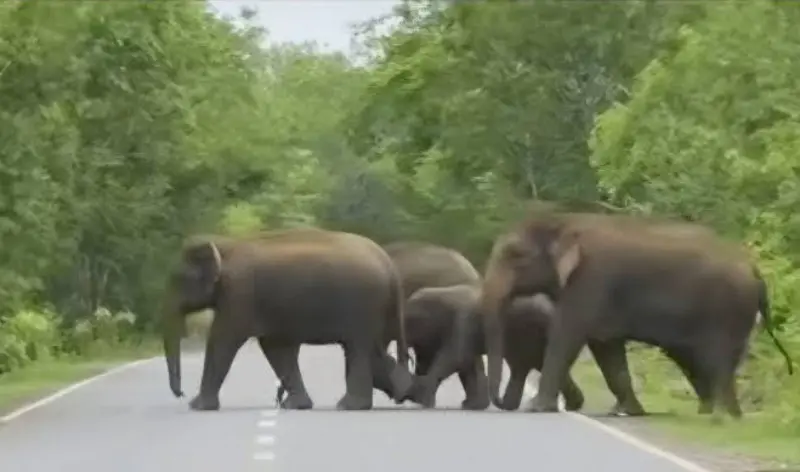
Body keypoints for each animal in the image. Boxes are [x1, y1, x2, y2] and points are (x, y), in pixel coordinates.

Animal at [162, 227, 420, 411]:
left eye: (177, 278)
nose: (181, 393)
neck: (226, 244)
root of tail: (390, 266)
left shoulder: (239, 294)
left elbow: (222, 340)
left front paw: (197, 407)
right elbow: (275, 348)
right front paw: (296, 406)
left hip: (364, 305)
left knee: (359, 349)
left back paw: (349, 406)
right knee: (372, 352)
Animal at [403, 283, 585, 412]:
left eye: (408, 323)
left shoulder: (463, 320)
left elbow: (458, 357)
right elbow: (467, 363)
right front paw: (472, 405)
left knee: (528, 365)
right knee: (539, 365)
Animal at [479, 210, 794, 418]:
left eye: (515, 255)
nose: (501, 403)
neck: (564, 220)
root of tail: (755, 271)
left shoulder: (592, 280)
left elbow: (568, 335)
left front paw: (536, 408)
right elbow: (606, 349)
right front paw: (626, 412)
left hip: (727, 311)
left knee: (717, 360)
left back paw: (724, 417)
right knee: (694, 359)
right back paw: (709, 413)